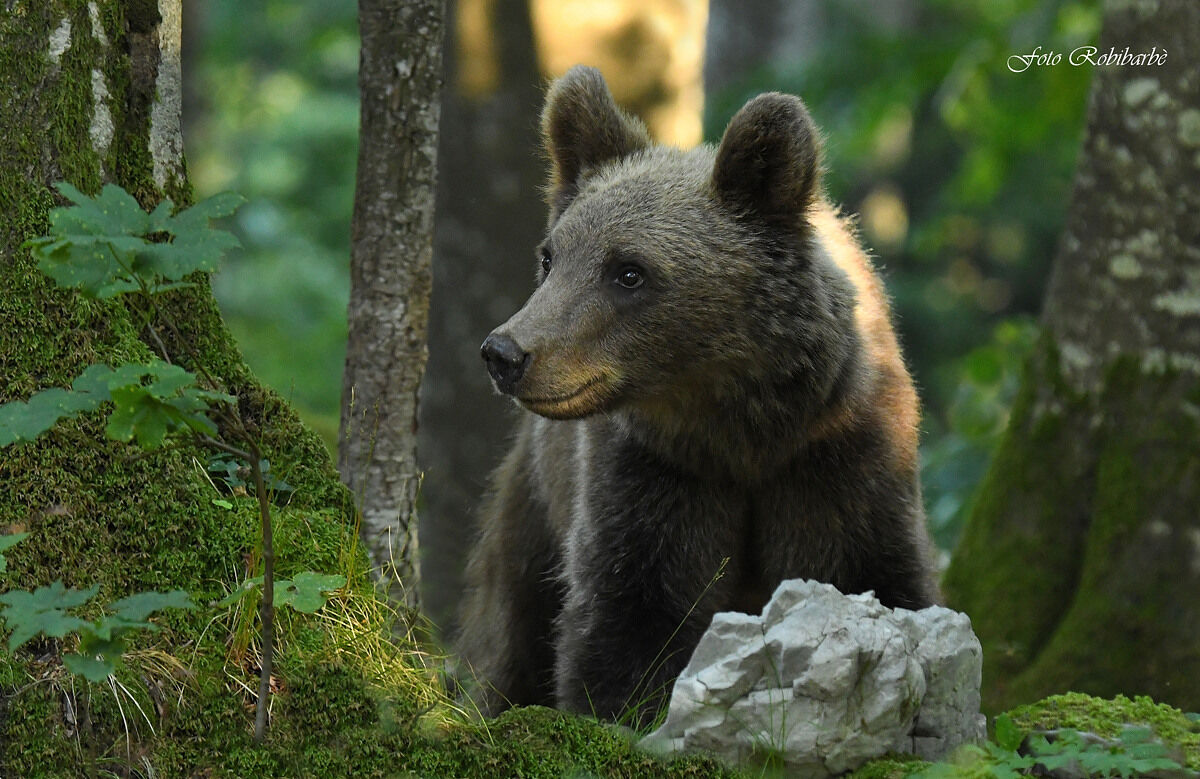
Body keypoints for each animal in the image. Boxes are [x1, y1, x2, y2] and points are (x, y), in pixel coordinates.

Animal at [456, 65, 939, 726]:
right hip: (535, 506)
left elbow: (874, 576)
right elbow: (629, 617)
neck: (741, 426)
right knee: (515, 628)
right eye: (551, 256)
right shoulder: (655, 474)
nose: (506, 353)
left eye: (629, 271)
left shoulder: (839, 456)